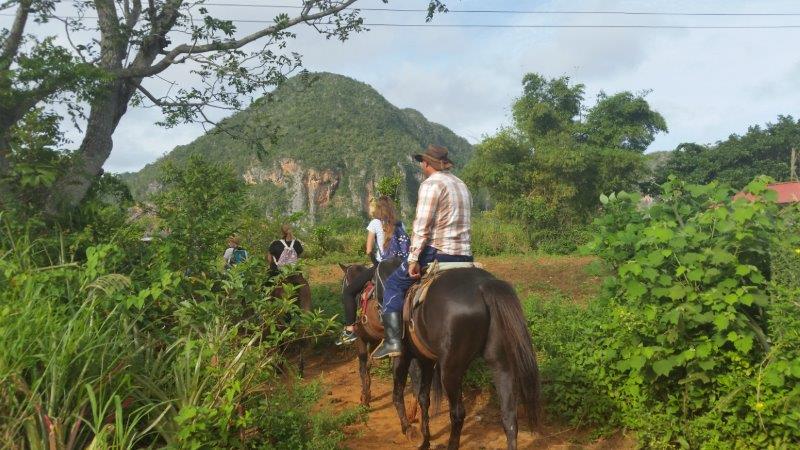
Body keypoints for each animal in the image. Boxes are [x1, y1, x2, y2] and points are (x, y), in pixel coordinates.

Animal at [340, 264, 540, 450]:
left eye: (343, 283)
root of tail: (483, 285)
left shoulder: (398, 354)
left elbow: (392, 390)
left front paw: (407, 428)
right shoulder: (426, 360)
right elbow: (423, 398)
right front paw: (425, 439)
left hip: (450, 370)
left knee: (458, 413)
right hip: (501, 364)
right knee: (509, 416)